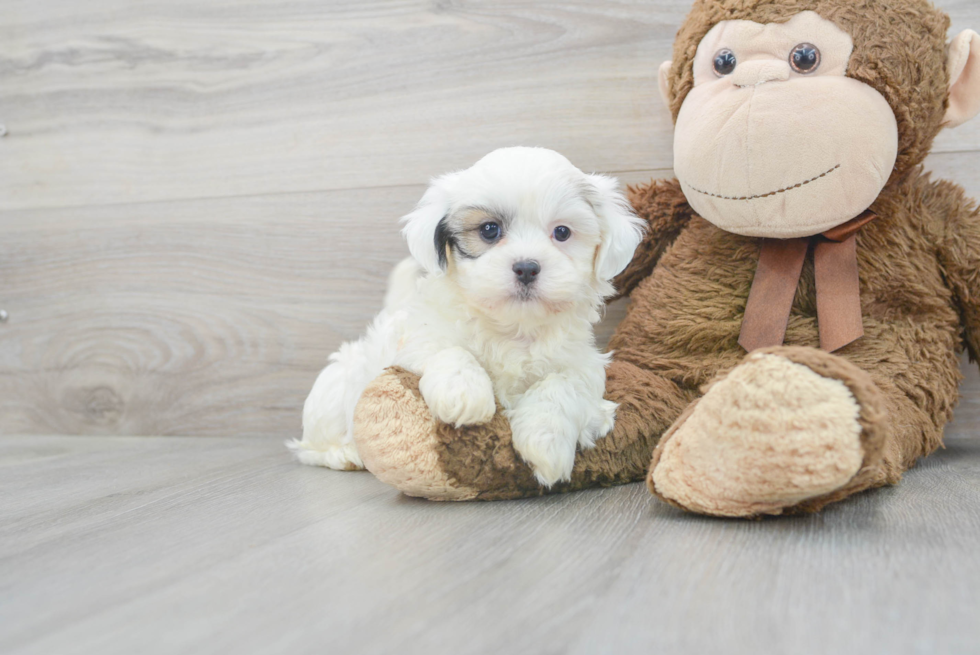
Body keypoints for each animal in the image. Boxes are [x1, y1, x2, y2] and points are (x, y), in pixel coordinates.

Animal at [290, 149, 644, 486]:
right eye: (489, 230)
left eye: (562, 232)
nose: (527, 267)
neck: (513, 328)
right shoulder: (418, 338)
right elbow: (450, 349)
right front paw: (464, 393)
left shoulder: (583, 365)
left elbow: (562, 384)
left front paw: (546, 441)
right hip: (336, 388)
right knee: (314, 444)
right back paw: (344, 453)